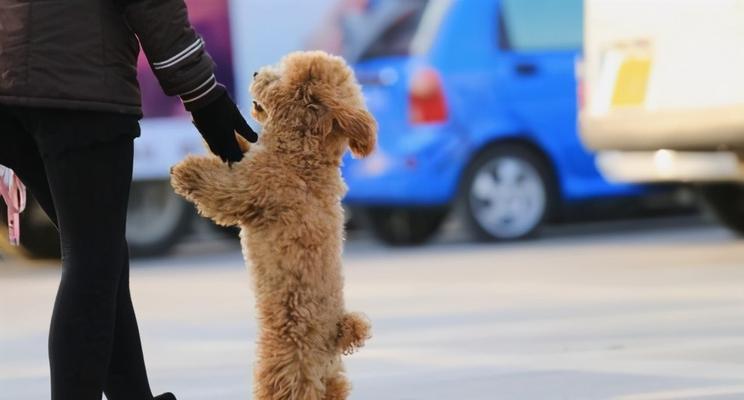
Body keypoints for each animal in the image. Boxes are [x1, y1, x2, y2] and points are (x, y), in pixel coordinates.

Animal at [171, 51, 374, 398]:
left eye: (280, 78)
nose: (255, 72)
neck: (301, 158)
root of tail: (337, 334)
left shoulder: (251, 189)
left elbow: (220, 186)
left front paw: (187, 170)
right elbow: (237, 148)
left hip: (283, 360)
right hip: (331, 377)